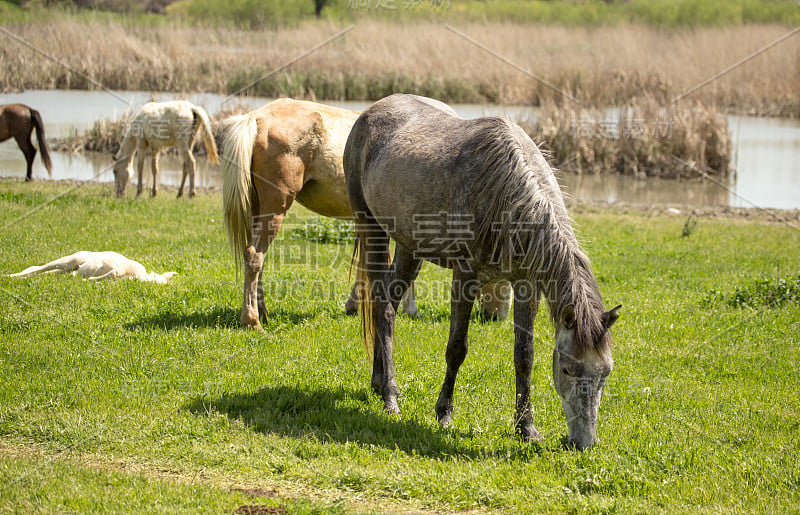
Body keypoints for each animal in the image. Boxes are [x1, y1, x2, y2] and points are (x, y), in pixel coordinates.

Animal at [219, 97, 510, 330]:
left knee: (258, 260)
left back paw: (262, 312)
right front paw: (409, 310)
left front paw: (356, 304)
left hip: (260, 210)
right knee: (255, 256)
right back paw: (252, 320)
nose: (496, 318)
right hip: (276, 208)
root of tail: (257, 118)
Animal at [346, 94, 620, 450]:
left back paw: (379, 383)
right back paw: (390, 396)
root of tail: (369, 112)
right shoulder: (465, 277)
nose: (584, 442)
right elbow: (457, 348)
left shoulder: (526, 284)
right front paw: (444, 414)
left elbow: (524, 355)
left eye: (605, 372)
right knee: (383, 309)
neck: (504, 195)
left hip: (409, 246)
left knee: (388, 304)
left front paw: (526, 427)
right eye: (568, 370)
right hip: (372, 228)